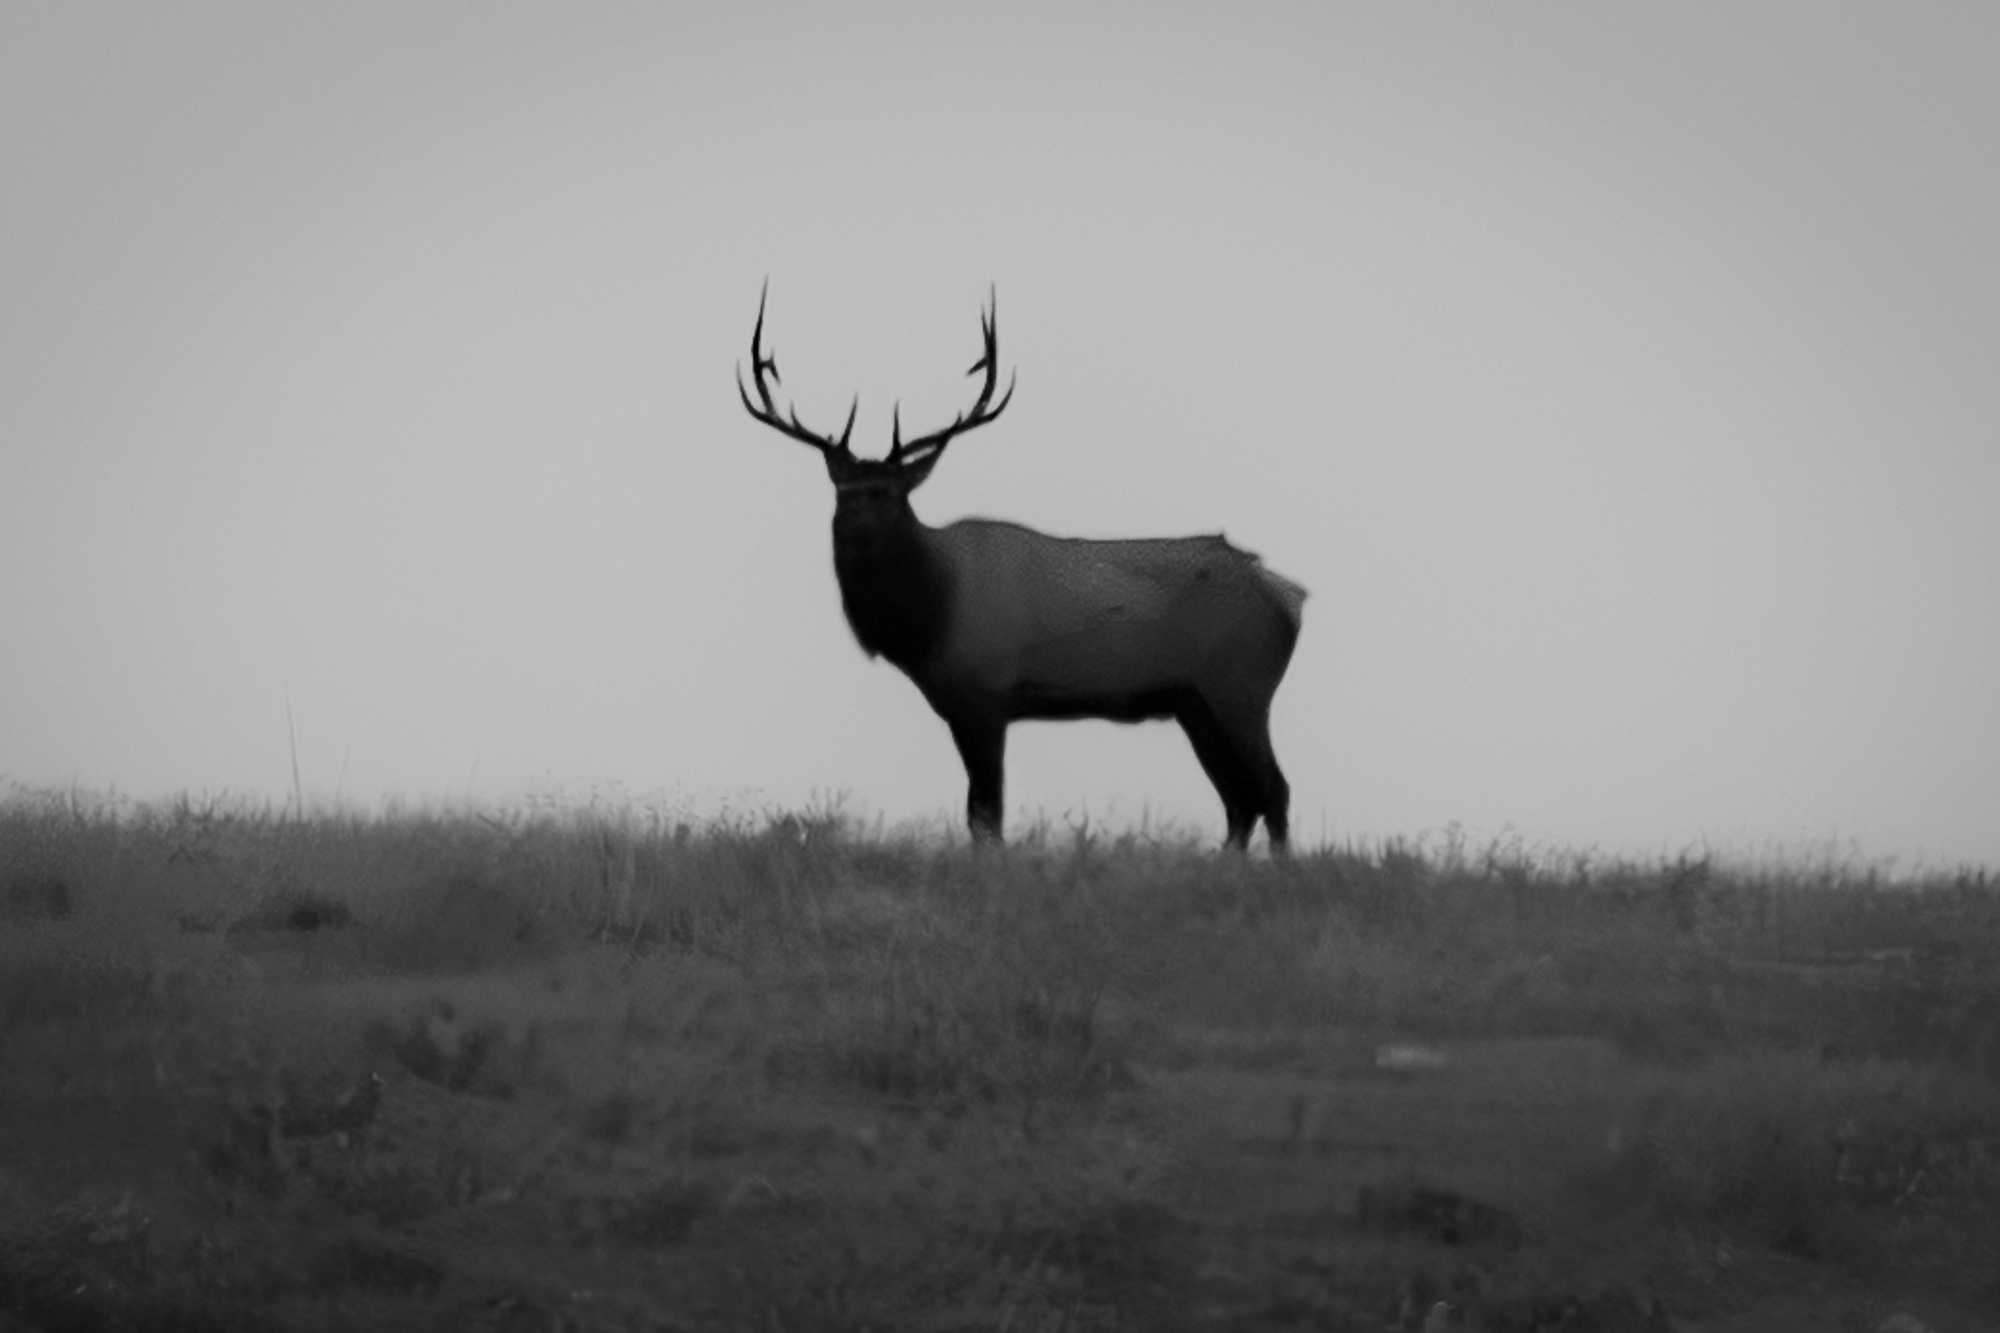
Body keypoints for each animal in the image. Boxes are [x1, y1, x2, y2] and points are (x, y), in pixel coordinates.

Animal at [737, 285, 1307, 851]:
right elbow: (980, 814)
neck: (927, 621)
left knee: (1272, 790)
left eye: (893, 496)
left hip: (1242, 683)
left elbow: (985, 814)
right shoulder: (961, 701)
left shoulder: (984, 691)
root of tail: (1288, 596)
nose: (857, 534)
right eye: (843, 492)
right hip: (1195, 701)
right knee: (1239, 800)